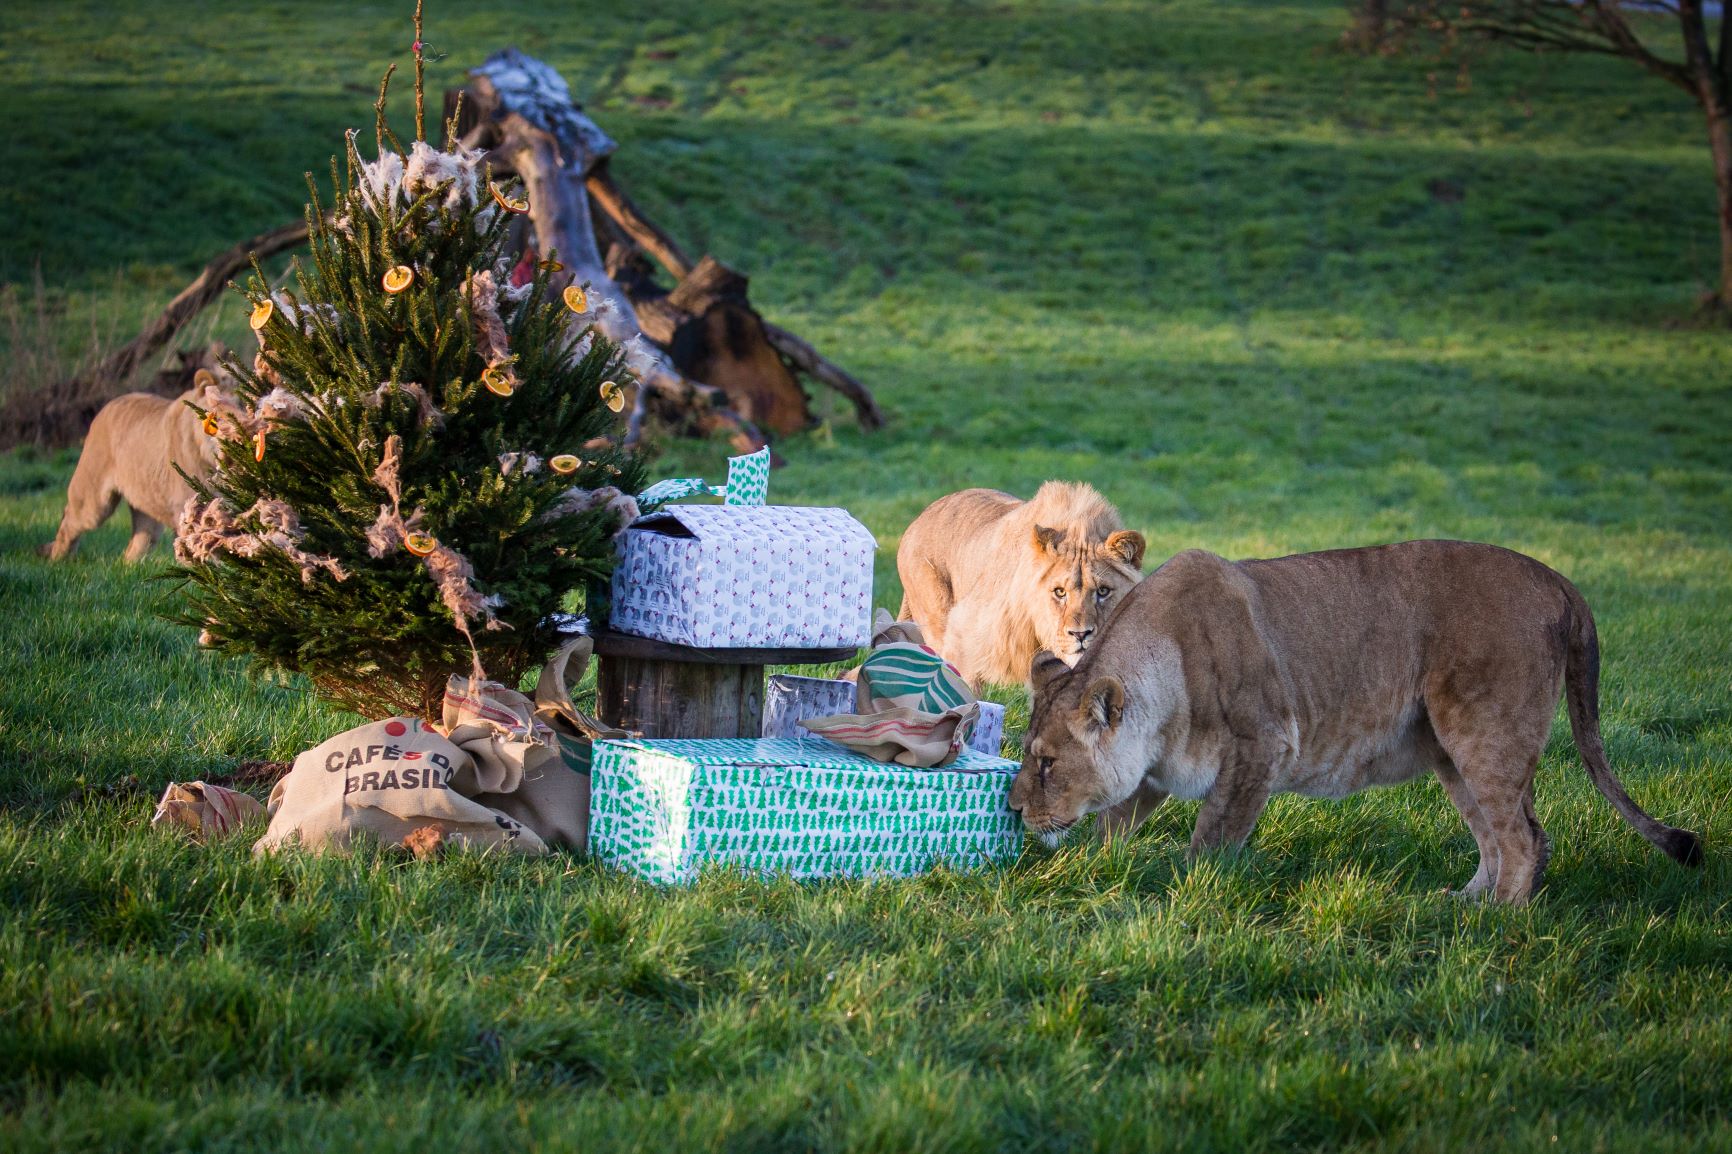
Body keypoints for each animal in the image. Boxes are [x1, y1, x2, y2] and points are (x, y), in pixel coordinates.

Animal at [40, 381, 221, 561]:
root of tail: (110, 404)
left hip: (145, 501)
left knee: (138, 542)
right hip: (94, 502)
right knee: (70, 518)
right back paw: (58, 558)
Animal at [1011, 533, 1704, 901]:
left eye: (1046, 764)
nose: (1015, 809)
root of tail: (1560, 580)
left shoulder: (1265, 744)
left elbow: (1212, 836)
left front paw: (1192, 889)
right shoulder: (1151, 773)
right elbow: (1113, 826)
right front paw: (1091, 868)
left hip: (1484, 731)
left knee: (1524, 837)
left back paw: (1501, 921)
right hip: (1452, 750)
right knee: (1500, 832)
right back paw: (1462, 904)